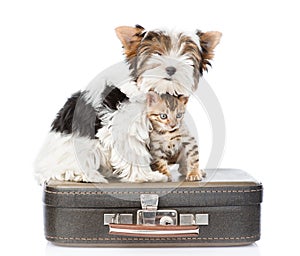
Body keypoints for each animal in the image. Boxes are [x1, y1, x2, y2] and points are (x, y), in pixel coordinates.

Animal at [34, 24, 221, 184]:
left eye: (185, 56)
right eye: (157, 53)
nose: (171, 68)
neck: (157, 90)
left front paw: (191, 169)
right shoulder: (127, 125)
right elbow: (133, 150)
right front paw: (147, 176)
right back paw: (83, 175)